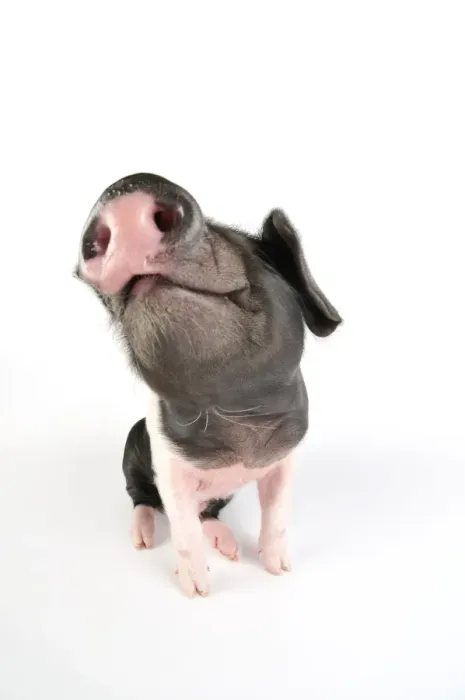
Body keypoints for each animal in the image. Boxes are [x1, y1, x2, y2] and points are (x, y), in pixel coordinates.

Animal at [75, 172, 342, 597]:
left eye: (250, 250)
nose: (127, 185)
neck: (232, 409)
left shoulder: (287, 456)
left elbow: (277, 511)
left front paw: (280, 570)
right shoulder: (168, 466)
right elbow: (183, 529)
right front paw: (198, 591)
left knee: (209, 513)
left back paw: (229, 546)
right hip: (132, 449)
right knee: (142, 499)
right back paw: (143, 539)